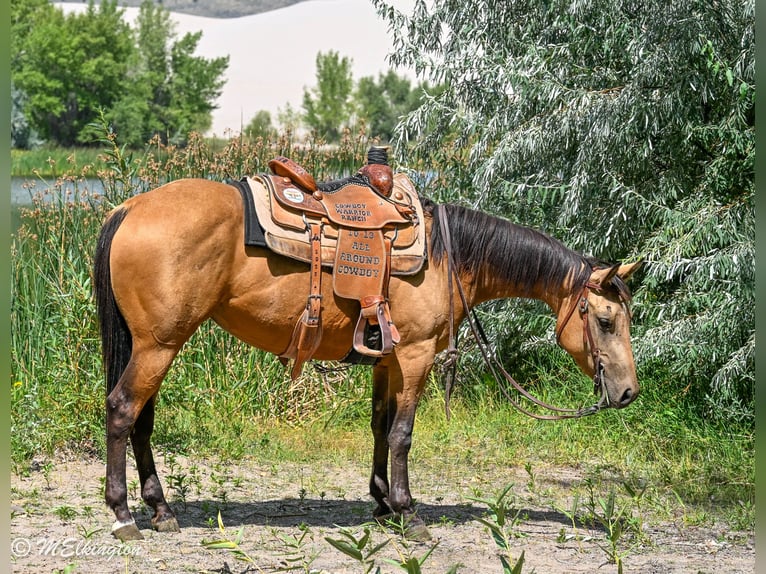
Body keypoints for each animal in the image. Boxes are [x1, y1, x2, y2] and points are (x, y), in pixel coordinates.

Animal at [93, 176, 641, 542]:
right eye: (606, 320)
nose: (628, 392)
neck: (448, 256)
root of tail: (130, 208)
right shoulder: (416, 354)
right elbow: (402, 435)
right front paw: (408, 512)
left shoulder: (387, 360)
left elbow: (380, 427)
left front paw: (381, 503)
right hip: (159, 345)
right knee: (122, 410)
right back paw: (122, 517)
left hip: (154, 345)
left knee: (142, 420)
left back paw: (161, 511)